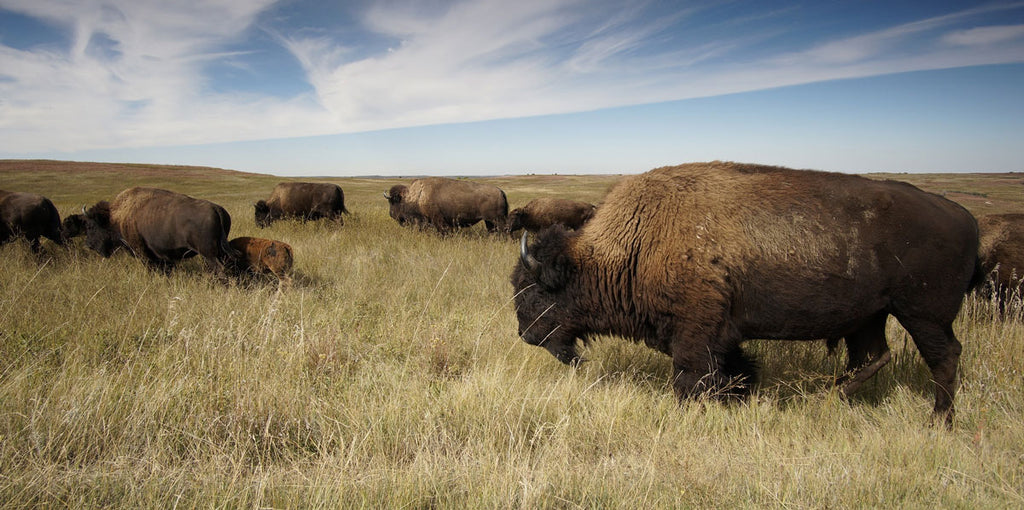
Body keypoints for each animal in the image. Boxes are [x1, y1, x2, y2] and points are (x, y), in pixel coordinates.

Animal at [74, 186, 237, 276]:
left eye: (91, 226)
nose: (88, 245)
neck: (117, 217)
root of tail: (216, 209)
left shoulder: (143, 253)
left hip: (209, 254)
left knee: (219, 269)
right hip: (219, 252)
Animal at [516, 161, 978, 423]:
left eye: (535, 293)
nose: (524, 334)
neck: (634, 240)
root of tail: (962, 214)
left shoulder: (695, 332)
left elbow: (690, 376)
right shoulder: (721, 334)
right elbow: (732, 368)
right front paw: (739, 396)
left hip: (923, 314)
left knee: (944, 357)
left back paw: (939, 421)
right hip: (869, 316)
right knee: (873, 356)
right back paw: (828, 400)